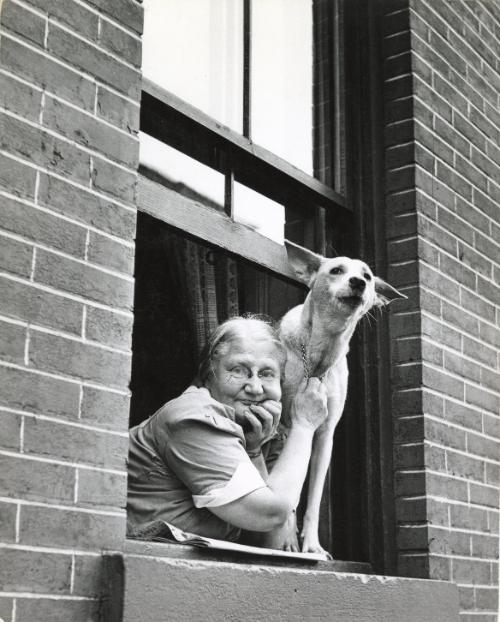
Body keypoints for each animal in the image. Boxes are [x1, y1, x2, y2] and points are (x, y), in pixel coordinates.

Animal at [264, 243, 404, 556]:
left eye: (368, 276)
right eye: (336, 270)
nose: (359, 282)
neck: (321, 351)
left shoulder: (325, 437)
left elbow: (314, 498)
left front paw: (312, 545)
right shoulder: (284, 429)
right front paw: (288, 540)